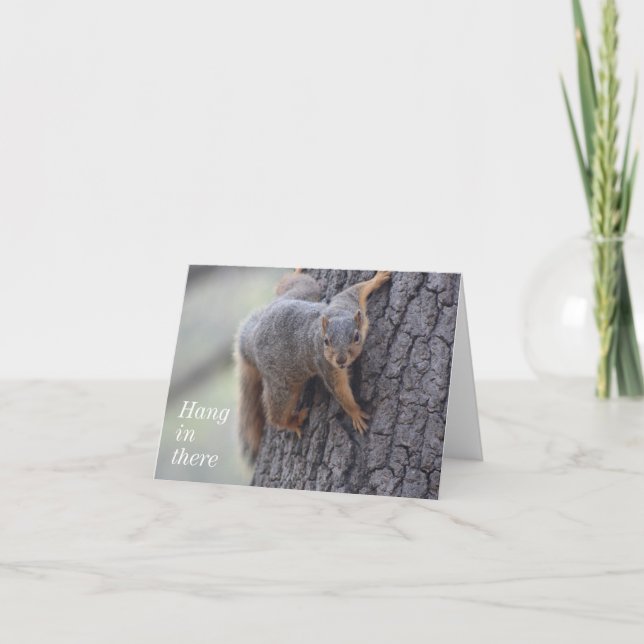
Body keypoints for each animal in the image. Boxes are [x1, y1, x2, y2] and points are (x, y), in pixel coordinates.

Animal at [235, 269, 391, 461]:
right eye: (326, 341)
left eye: (356, 337)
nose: (340, 360)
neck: (337, 315)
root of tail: (253, 338)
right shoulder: (327, 366)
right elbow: (340, 391)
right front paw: (355, 412)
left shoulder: (347, 303)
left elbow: (356, 289)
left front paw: (377, 278)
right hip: (282, 385)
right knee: (277, 414)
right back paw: (291, 422)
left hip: (302, 292)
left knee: (294, 284)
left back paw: (295, 273)